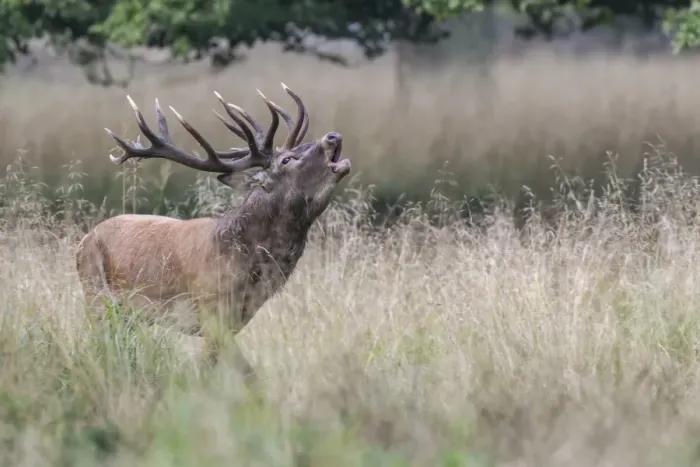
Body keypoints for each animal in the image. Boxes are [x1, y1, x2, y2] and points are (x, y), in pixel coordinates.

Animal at [75, 84, 351, 384]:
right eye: (287, 159)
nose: (332, 136)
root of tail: (82, 242)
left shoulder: (237, 319)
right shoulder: (210, 313)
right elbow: (223, 372)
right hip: (95, 296)